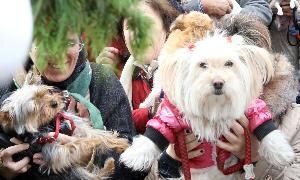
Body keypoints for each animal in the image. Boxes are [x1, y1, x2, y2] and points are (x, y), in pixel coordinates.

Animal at [0, 85, 129, 179]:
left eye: (47, 92)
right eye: (34, 108)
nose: (54, 103)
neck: (51, 124)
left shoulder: (74, 124)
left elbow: (99, 134)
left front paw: (120, 143)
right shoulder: (51, 150)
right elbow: (76, 144)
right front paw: (93, 142)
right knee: (91, 177)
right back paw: (108, 165)